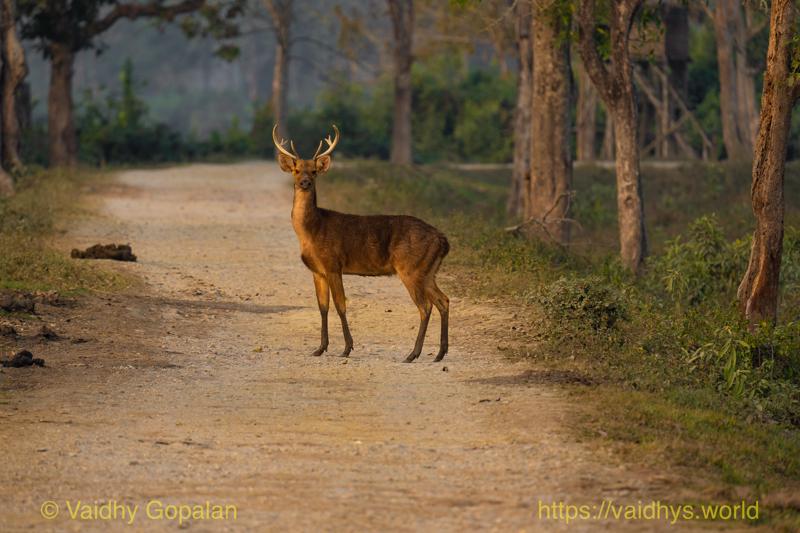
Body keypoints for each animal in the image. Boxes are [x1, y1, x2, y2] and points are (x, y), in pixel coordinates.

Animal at [273, 124, 450, 363]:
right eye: (296, 169)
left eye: (314, 171)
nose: (305, 182)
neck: (312, 231)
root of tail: (443, 239)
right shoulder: (318, 271)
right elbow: (322, 307)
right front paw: (320, 348)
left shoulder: (333, 264)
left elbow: (340, 305)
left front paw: (347, 348)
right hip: (428, 271)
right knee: (443, 300)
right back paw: (439, 353)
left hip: (411, 268)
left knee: (425, 306)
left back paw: (413, 354)